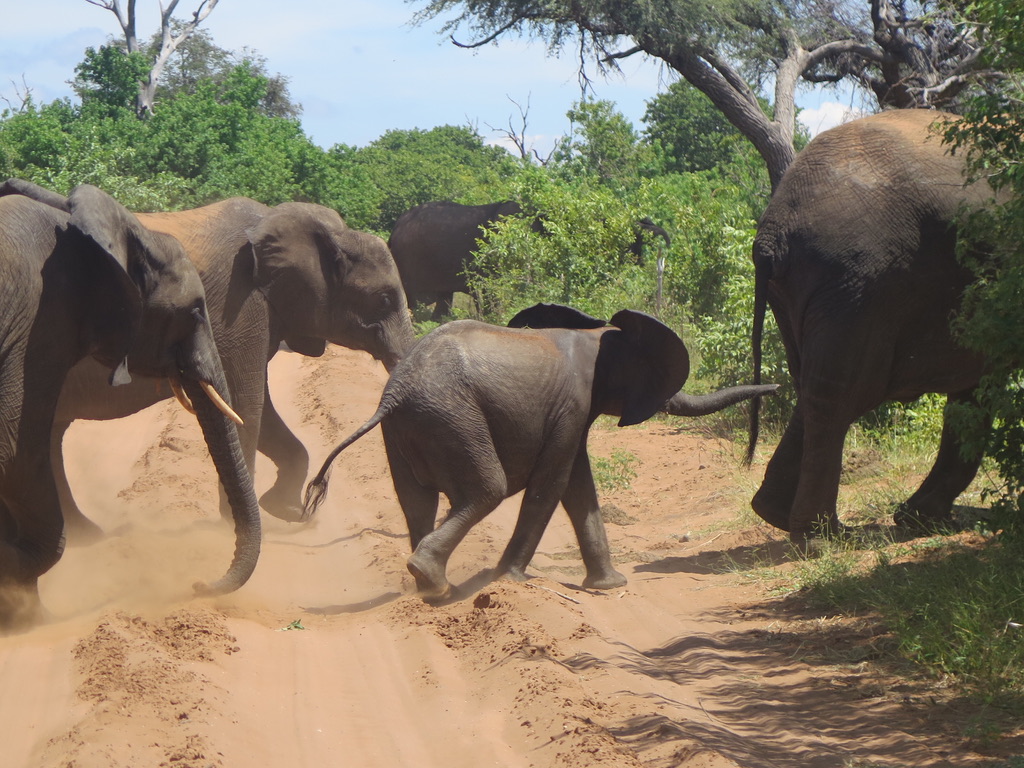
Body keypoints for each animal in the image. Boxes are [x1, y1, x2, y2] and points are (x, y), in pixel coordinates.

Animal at [48, 193, 415, 540]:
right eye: (383, 299)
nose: (312, 504)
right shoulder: (237, 306)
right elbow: (246, 407)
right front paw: (237, 523)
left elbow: (261, 412)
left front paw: (284, 511)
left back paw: (84, 536)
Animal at [745, 109, 999, 548]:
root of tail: (772, 233)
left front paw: (920, 520)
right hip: (860, 280)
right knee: (843, 390)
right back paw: (823, 539)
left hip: (813, 289)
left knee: (814, 383)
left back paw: (777, 515)